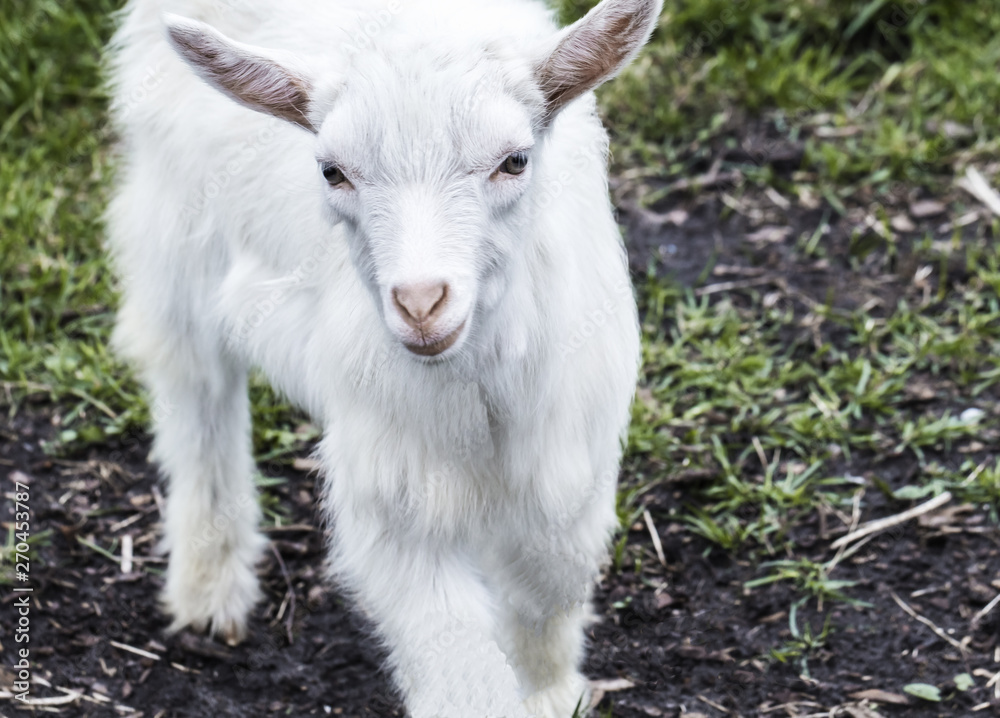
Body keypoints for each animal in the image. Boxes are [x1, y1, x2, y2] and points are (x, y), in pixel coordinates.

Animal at [107, 1, 656, 716]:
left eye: (514, 160)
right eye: (332, 171)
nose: (421, 303)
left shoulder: (567, 459)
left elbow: (549, 585)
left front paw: (551, 693)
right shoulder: (393, 492)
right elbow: (457, 664)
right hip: (174, 229)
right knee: (195, 386)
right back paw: (209, 584)